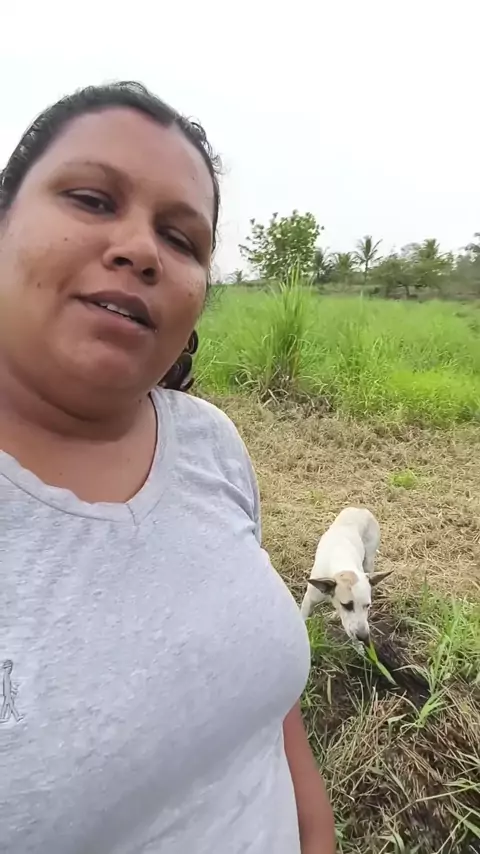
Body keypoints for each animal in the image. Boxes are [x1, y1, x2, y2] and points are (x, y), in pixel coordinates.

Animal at [300, 507, 392, 643]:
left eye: (367, 605)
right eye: (347, 605)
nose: (364, 637)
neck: (342, 566)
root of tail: (361, 508)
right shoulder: (309, 599)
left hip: (369, 558)